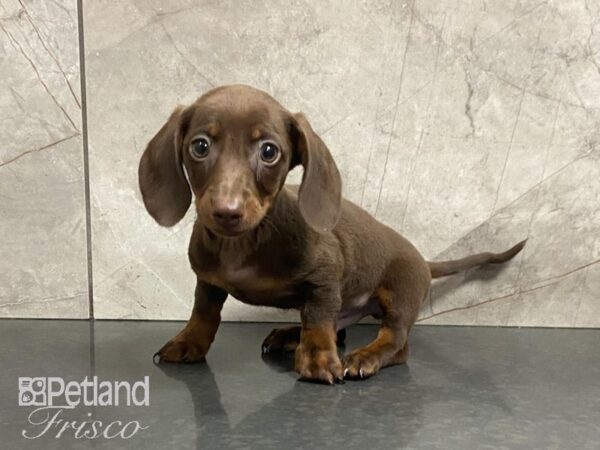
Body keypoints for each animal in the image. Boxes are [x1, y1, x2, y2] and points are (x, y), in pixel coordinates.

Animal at [138, 85, 524, 384]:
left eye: (269, 151)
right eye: (200, 146)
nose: (227, 211)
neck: (244, 243)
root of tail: (425, 261)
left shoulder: (325, 278)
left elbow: (318, 320)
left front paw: (317, 360)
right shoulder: (208, 281)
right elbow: (203, 313)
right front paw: (188, 342)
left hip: (400, 294)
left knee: (395, 342)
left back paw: (364, 357)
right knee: (340, 327)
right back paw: (289, 335)